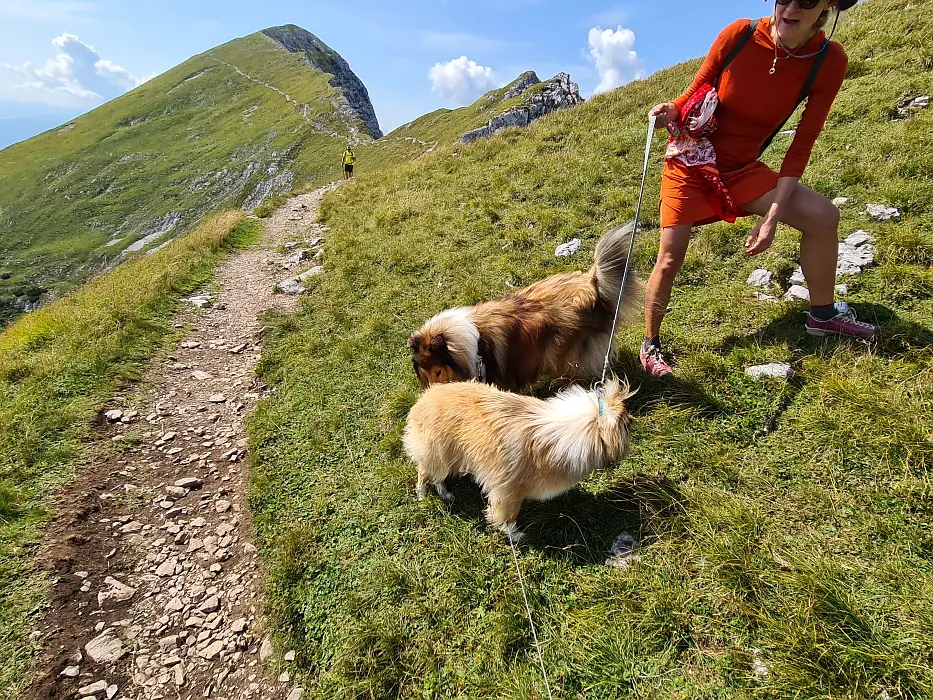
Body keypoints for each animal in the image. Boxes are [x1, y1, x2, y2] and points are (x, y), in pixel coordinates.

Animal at [402, 374, 632, 544]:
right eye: (625, 422)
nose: (633, 420)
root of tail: (426, 396)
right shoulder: (508, 491)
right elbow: (508, 517)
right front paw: (515, 536)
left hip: (451, 458)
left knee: (437, 477)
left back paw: (446, 494)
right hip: (438, 455)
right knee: (423, 473)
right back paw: (423, 496)